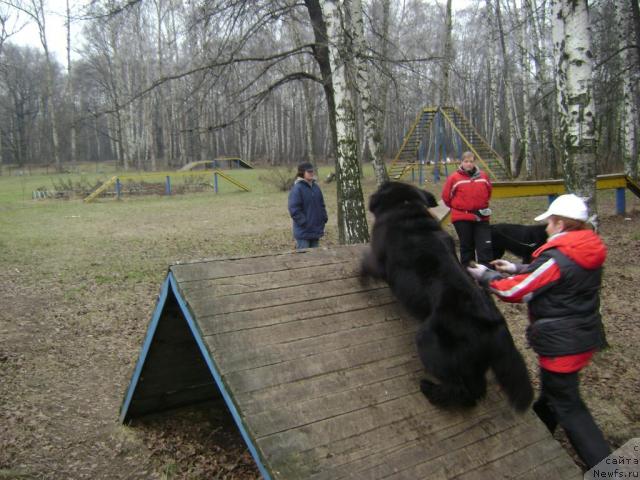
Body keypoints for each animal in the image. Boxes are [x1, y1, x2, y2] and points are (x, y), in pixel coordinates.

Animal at [362, 182, 532, 410]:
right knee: (476, 391)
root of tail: (495, 327)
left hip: (429, 342)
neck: (405, 206)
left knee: (461, 389)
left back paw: (431, 390)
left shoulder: (380, 261)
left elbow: (365, 265)